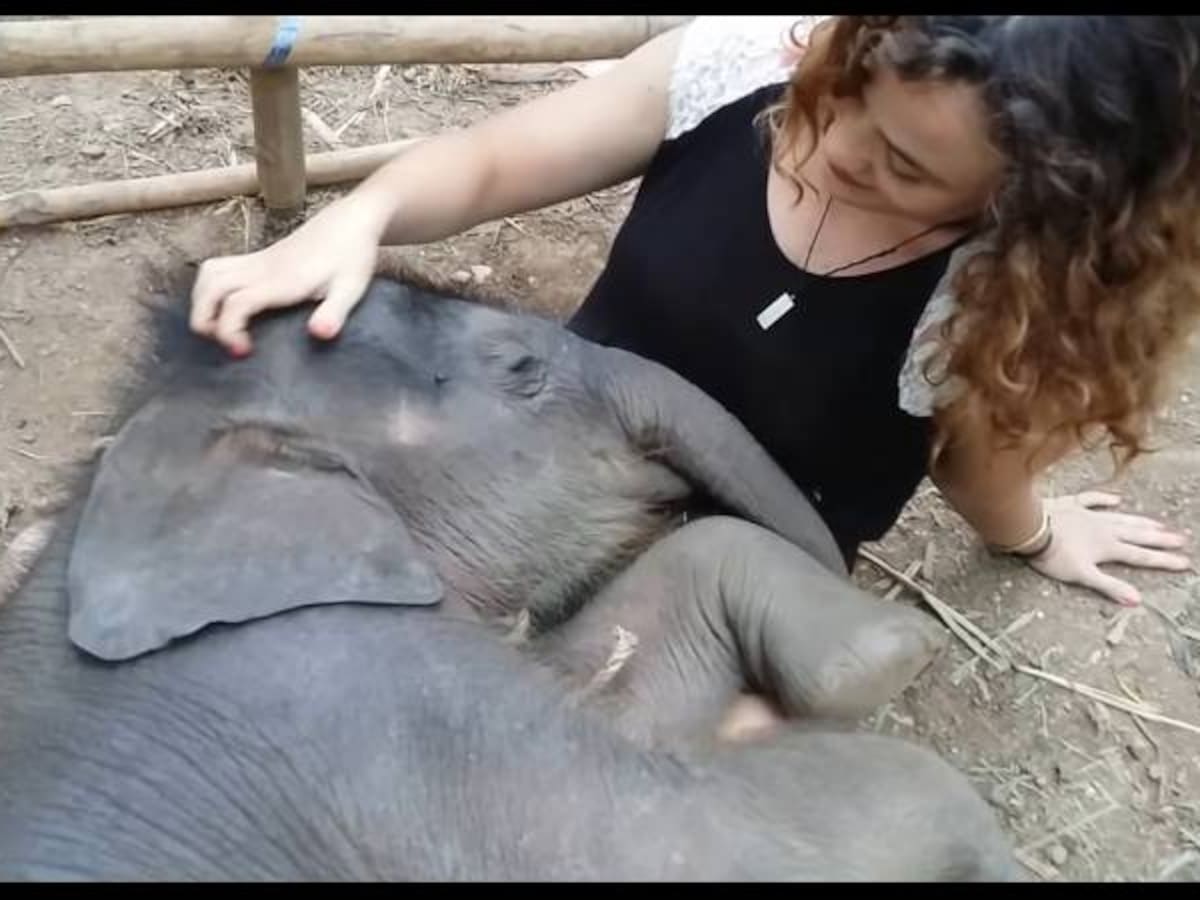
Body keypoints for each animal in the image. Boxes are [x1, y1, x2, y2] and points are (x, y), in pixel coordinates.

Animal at [0, 271, 1018, 880]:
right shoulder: (377, 718)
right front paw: (900, 666)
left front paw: (881, 656)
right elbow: (697, 847)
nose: (871, 572)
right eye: (522, 366)